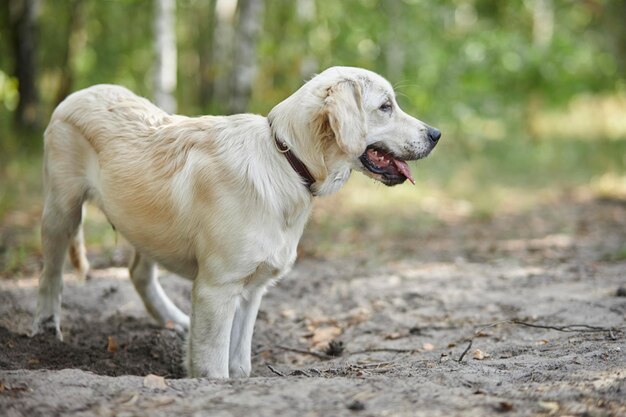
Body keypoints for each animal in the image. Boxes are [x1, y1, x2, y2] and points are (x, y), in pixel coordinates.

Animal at [33, 65, 438, 376]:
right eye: (385, 106)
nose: (436, 134)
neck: (285, 161)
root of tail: (79, 93)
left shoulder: (252, 289)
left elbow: (239, 363)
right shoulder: (217, 288)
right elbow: (213, 366)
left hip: (143, 225)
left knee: (138, 273)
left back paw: (175, 320)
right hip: (61, 209)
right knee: (50, 274)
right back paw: (47, 328)